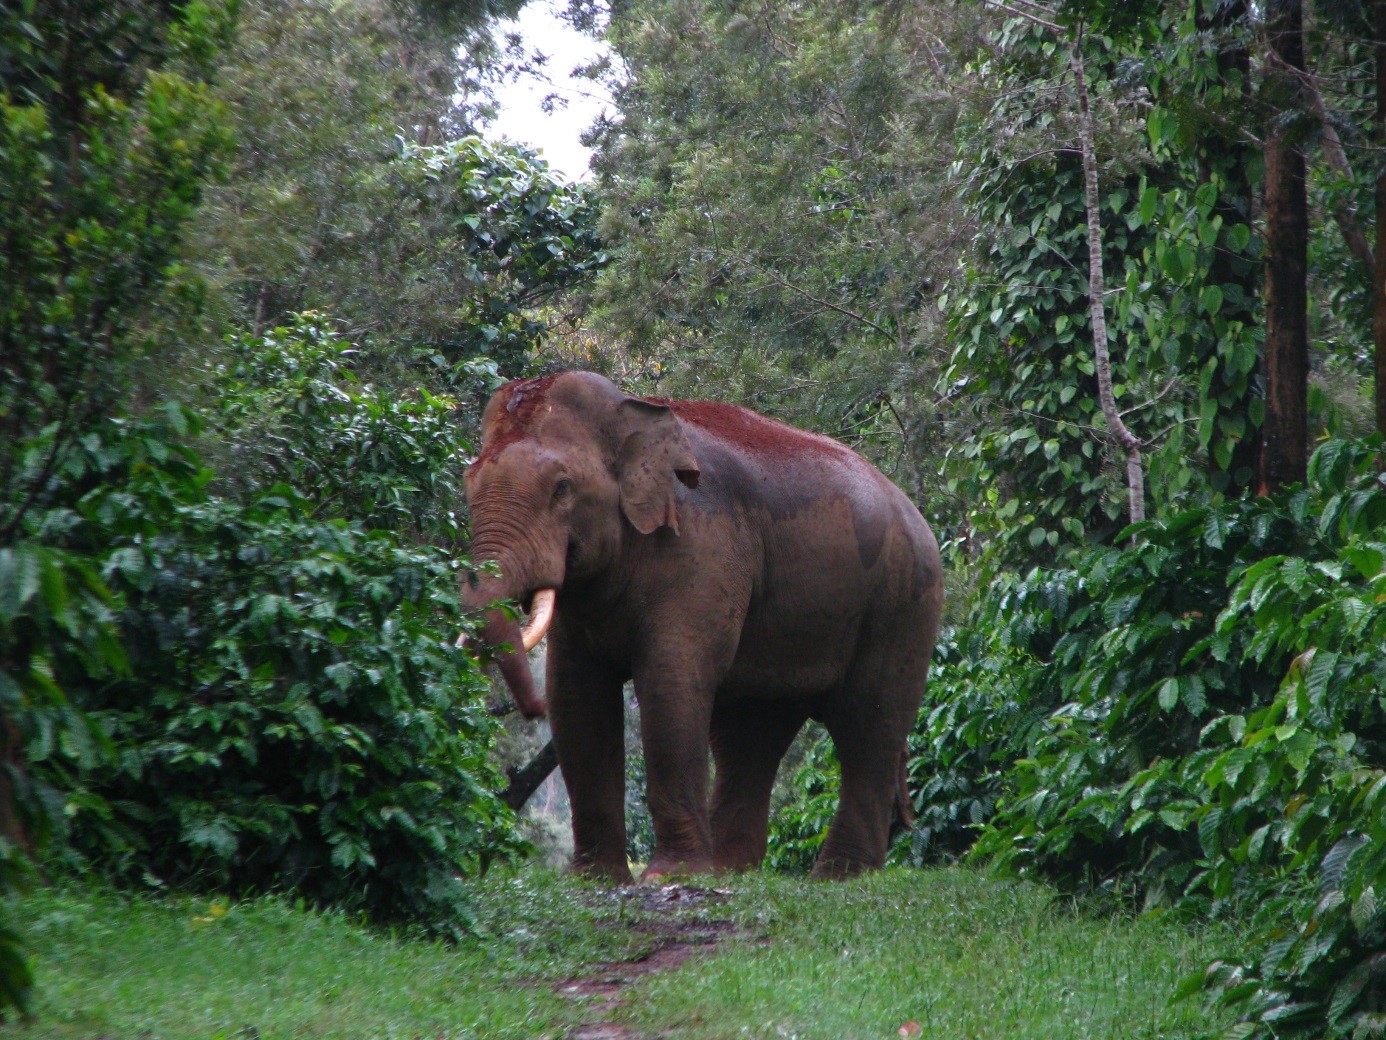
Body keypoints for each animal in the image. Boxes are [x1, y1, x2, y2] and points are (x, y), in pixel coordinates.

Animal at [460, 371, 948, 881]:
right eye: (466, 485)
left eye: (562, 487)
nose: (529, 712)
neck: (632, 410)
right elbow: (576, 696)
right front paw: (593, 879)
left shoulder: (702, 545)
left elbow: (670, 681)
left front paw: (668, 877)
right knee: (751, 734)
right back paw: (734, 870)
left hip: (905, 603)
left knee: (869, 726)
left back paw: (839, 876)